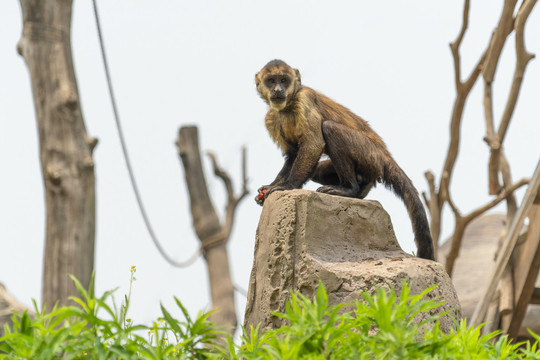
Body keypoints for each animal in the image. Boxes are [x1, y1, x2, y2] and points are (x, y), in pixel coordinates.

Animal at [253, 59, 434, 262]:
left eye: (284, 80)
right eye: (271, 81)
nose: (278, 89)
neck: (287, 106)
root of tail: (385, 155)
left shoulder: (304, 99)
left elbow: (313, 145)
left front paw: (287, 186)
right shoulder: (271, 117)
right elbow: (292, 154)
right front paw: (272, 185)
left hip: (370, 153)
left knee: (330, 128)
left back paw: (350, 189)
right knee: (318, 170)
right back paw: (361, 187)